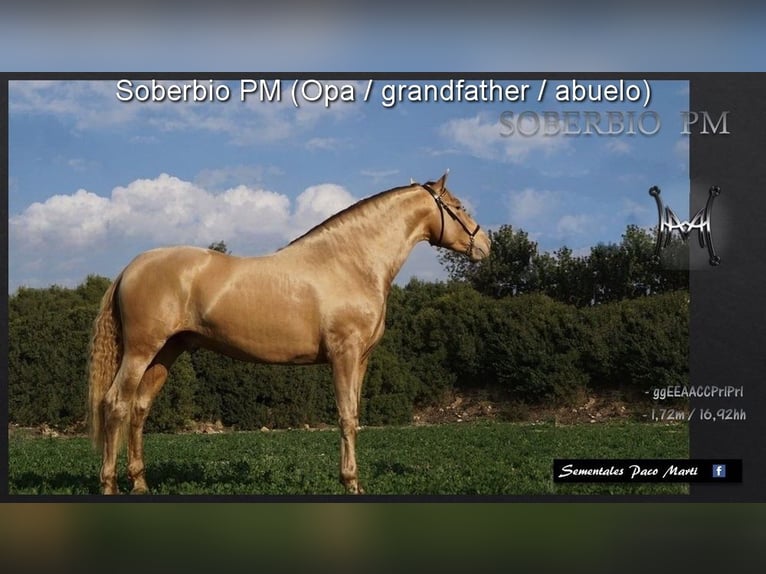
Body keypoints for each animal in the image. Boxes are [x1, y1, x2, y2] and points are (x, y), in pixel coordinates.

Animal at [87, 172, 491, 494]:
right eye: (459, 206)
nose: (485, 244)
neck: (350, 262)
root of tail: (130, 268)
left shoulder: (361, 359)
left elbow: (355, 415)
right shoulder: (344, 355)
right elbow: (346, 417)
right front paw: (351, 483)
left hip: (166, 353)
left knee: (139, 408)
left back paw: (140, 483)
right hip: (141, 351)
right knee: (116, 404)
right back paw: (109, 485)